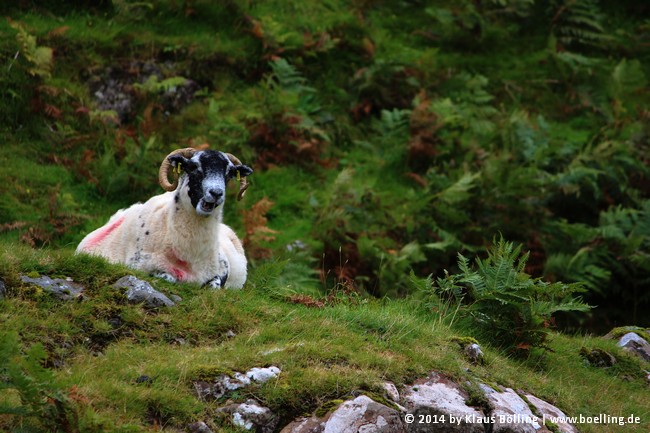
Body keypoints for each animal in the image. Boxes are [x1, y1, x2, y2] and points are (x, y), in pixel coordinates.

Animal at [73, 147, 251, 288]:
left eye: (229, 173)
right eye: (193, 166)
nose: (216, 193)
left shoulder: (221, 270)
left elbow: (214, 286)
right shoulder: (137, 266)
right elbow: (166, 277)